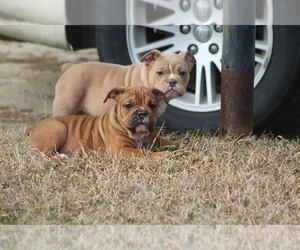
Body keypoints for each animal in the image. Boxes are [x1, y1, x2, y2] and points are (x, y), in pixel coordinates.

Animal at [27, 86, 179, 158]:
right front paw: (162, 155)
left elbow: (165, 141)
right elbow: (143, 152)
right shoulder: (121, 149)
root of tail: (33, 127)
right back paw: (62, 157)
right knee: (41, 154)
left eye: (152, 105)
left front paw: (179, 143)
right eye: (128, 105)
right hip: (58, 128)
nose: (142, 112)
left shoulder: (153, 138)